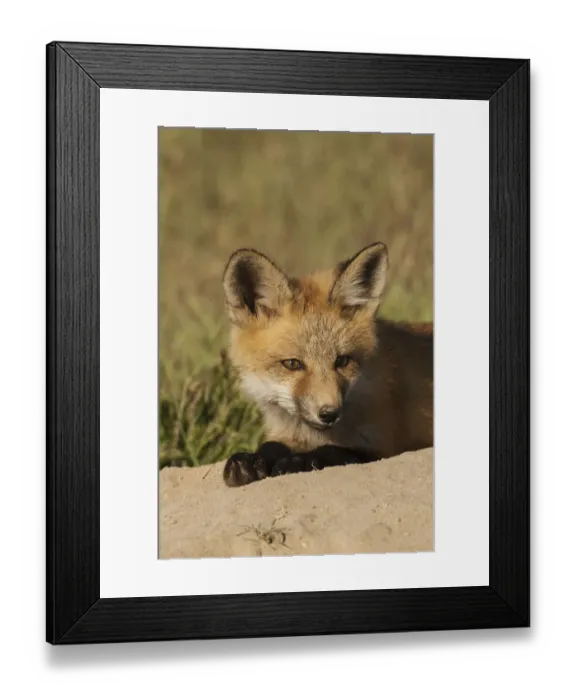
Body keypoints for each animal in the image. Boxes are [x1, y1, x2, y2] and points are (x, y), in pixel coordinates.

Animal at [221, 241, 433, 487]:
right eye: (292, 364)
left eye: (342, 361)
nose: (330, 413)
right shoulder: (284, 433)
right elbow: (271, 445)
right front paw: (249, 460)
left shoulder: (385, 445)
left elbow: (334, 451)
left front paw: (298, 461)